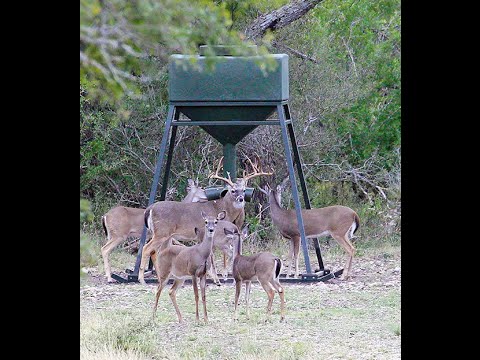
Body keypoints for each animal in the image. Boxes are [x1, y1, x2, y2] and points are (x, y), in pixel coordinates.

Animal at [140, 156, 274, 286]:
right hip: (161, 232)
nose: (241, 198)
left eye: (244, 190)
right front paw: (218, 278)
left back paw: (161, 277)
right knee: (146, 248)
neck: (220, 208)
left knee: (156, 252)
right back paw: (142, 279)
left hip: (166, 235)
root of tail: (150, 209)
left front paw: (222, 276)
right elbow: (214, 257)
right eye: (233, 191)